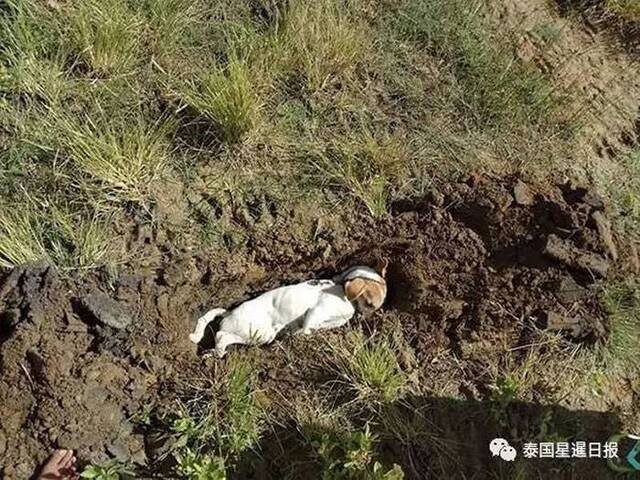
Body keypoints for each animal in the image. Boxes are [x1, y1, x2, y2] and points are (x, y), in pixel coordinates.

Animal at [190, 258, 388, 356]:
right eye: (370, 304)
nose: (368, 320)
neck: (342, 289)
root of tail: (228, 313)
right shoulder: (316, 312)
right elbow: (306, 328)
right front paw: (297, 336)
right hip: (260, 333)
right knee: (221, 335)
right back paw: (217, 352)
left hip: (258, 336)